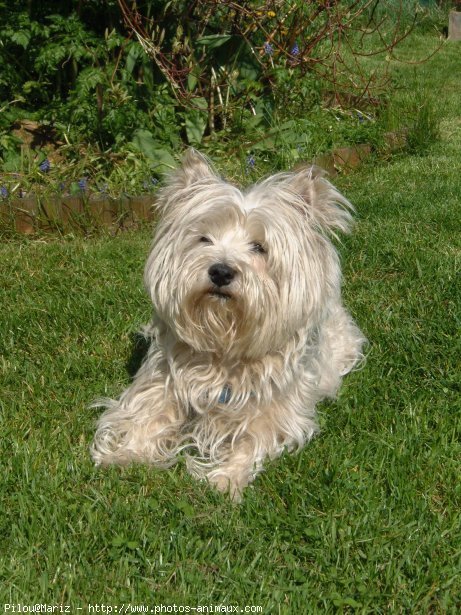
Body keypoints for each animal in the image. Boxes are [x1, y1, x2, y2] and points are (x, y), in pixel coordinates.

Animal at [90, 149, 362, 500]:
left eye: (260, 247)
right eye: (204, 238)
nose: (220, 271)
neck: (223, 346)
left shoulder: (276, 409)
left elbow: (253, 439)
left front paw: (226, 478)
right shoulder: (163, 382)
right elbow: (146, 415)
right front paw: (126, 454)